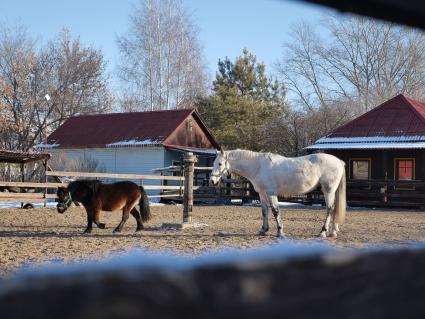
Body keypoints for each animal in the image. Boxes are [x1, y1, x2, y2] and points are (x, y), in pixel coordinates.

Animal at [209, 151, 344, 239]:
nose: (212, 181)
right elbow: (264, 211)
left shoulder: (271, 193)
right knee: (334, 209)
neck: (259, 167)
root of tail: (339, 161)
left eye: (220, 163)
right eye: (214, 163)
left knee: (329, 209)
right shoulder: (262, 194)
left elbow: (275, 211)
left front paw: (280, 232)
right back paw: (333, 232)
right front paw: (263, 230)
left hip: (328, 190)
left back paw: (323, 232)